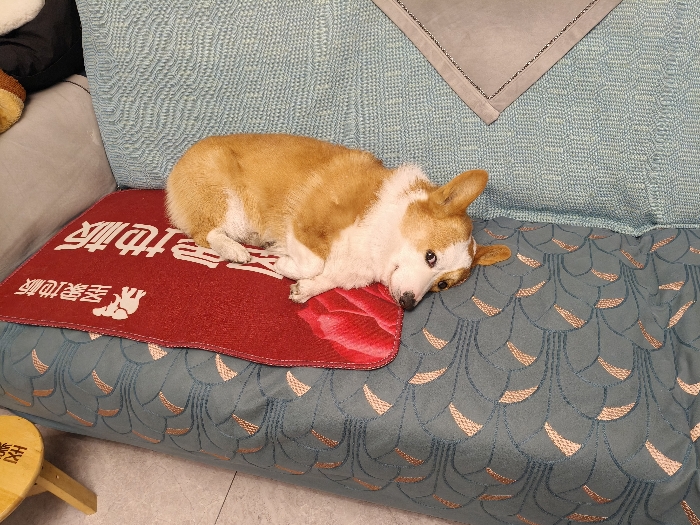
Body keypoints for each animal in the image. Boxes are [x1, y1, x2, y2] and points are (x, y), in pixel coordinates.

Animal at [165, 133, 510, 310]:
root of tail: (176, 168)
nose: (408, 304)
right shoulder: (305, 222)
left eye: (442, 285)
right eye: (431, 257)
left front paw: (305, 289)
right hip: (232, 207)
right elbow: (314, 263)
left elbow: (328, 276)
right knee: (205, 232)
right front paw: (284, 264)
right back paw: (237, 251)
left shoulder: (351, 270)